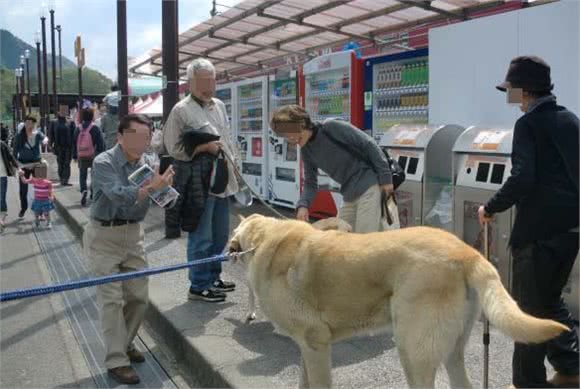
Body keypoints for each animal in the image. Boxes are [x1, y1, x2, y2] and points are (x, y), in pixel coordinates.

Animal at [229, 214, 568, 386]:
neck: (263, 239)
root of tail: (466, 252)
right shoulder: (307, 348)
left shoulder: (315, 343)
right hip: (450, 351)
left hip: (412, 351)